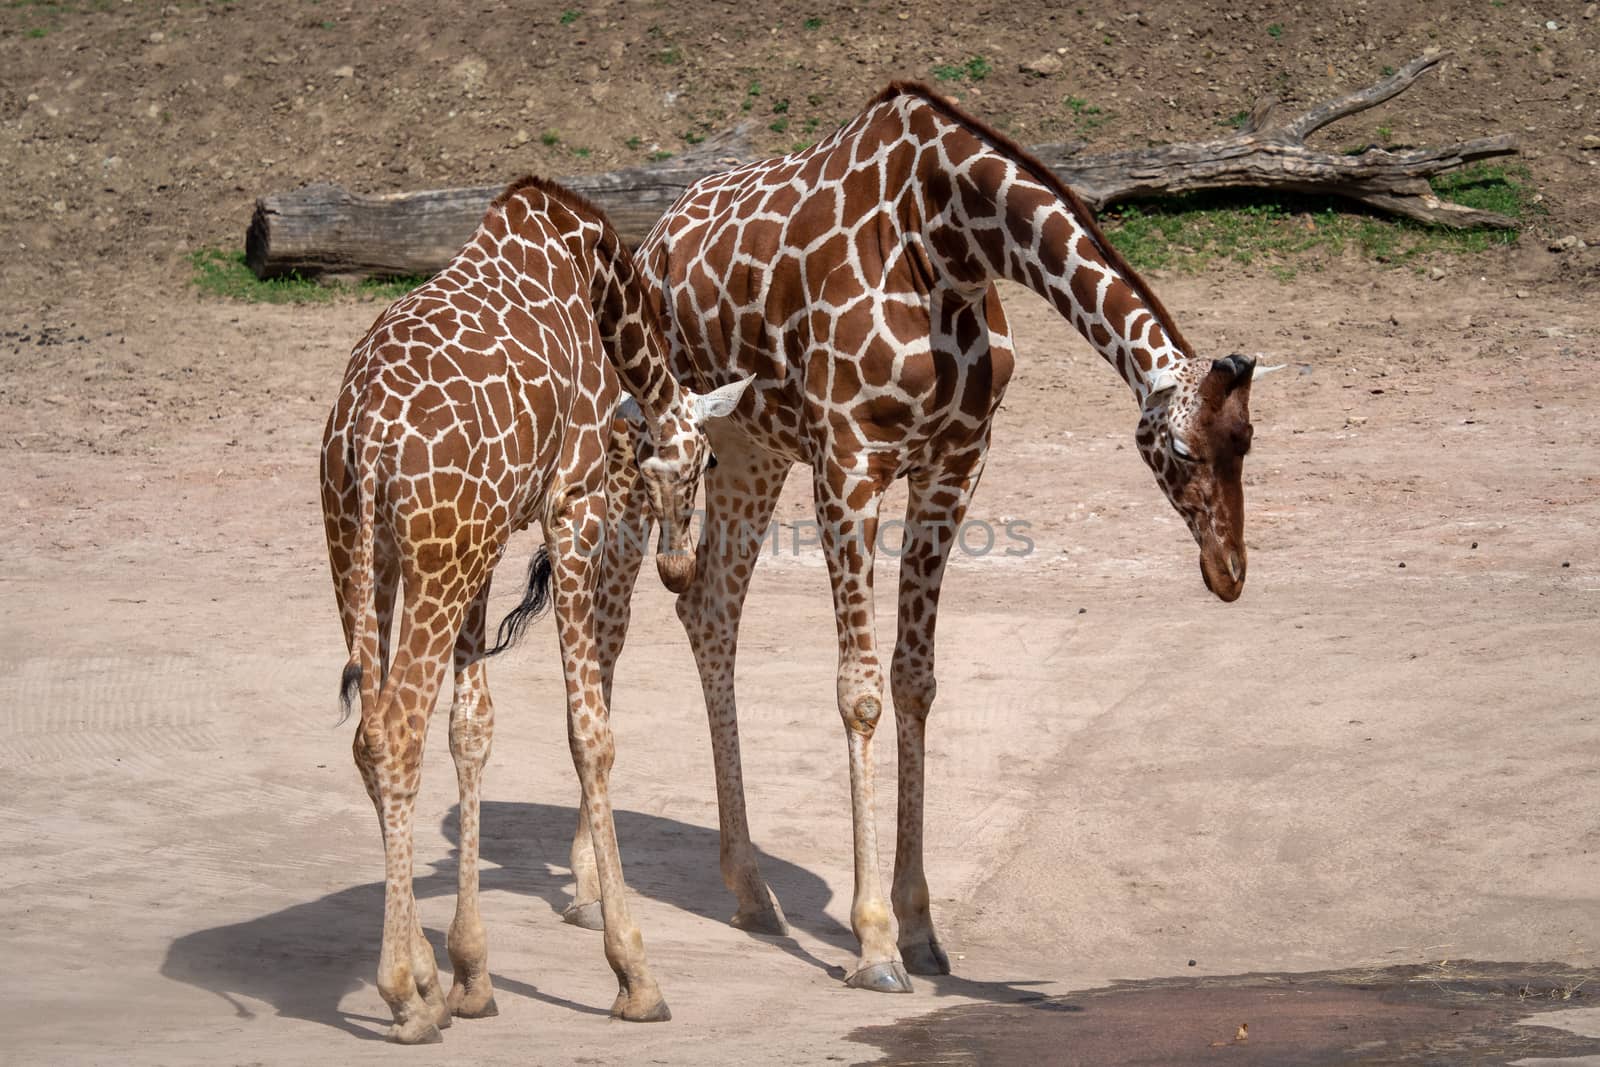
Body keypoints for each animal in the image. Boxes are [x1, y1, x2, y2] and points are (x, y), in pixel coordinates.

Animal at [321, 175, 752, 1043]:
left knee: (369, 732)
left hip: (368, 552)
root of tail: (366, 437)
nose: (677, 564)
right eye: (706, 462)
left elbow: (472, 729)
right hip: (432, 558)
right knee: (395, 731)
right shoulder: (572, 506)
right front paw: (634, 973)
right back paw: (402, 995)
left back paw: (422, 975)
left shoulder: (489, 542)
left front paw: (471, 971)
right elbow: (591, 734)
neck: (596, 279)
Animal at [576, 81, 1273, 991]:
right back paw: (588, 889)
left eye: (1249, 442)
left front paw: (920, 930)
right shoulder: (848, 459)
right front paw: (874, 943)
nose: (1229, 571)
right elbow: (860, 691)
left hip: (745, 446)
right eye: (1184, 450)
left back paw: (752, 892)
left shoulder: (955, 462)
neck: (951, 243)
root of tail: (654, 238)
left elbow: (916, 681)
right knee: (610, 625)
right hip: (638, 442)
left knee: (709, 607)